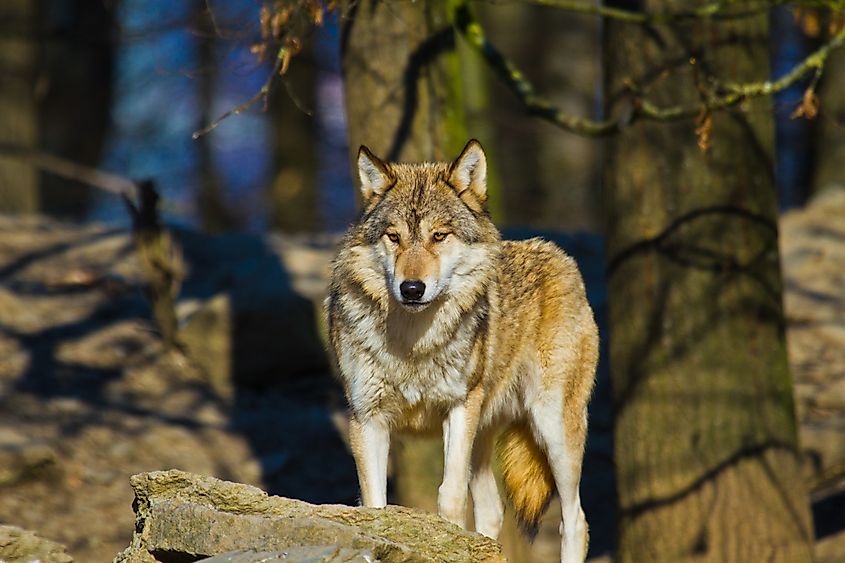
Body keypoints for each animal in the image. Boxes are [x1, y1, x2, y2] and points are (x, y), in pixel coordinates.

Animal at [326, 140, 596, 563]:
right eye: (393, 237)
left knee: (575, 520)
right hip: (486, 437)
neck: (413, 343)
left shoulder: (458, 408)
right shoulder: (367, 418)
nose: (412, 289)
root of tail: (560, 254)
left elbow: (449, 498)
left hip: (552, 428)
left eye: (439, 236)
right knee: (493, 510)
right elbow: (375, 506)